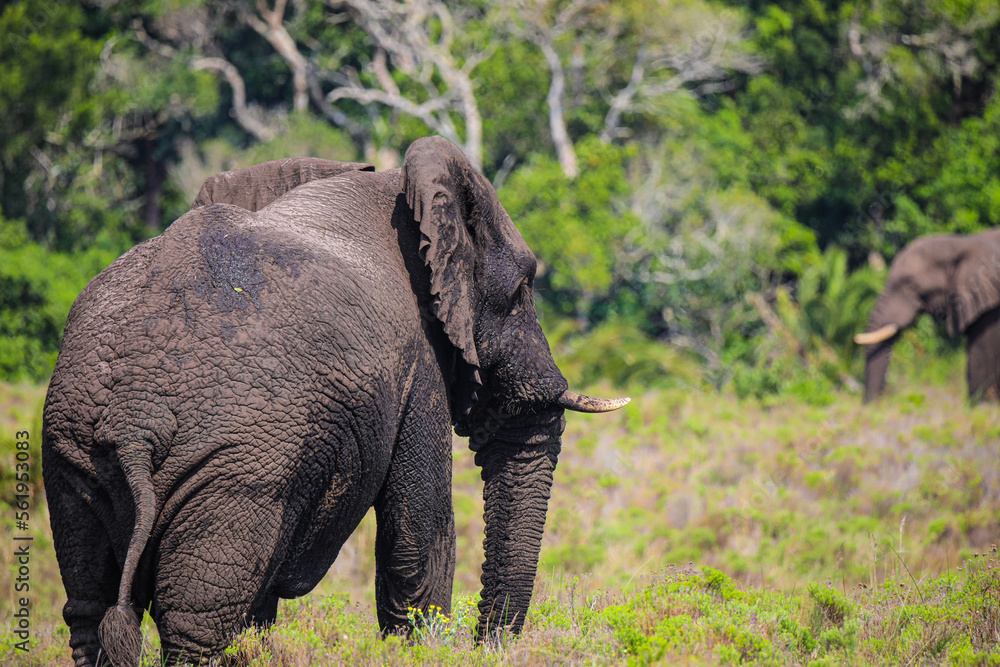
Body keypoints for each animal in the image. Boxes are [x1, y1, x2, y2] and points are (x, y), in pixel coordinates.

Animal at [42, 136, 628, 666]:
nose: (487, 645)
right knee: (196, 620)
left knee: (89, 610)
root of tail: (135, 421)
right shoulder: (418, 359)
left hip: (73, 457)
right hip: (241, 469)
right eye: (525, 288)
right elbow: (420, 531)